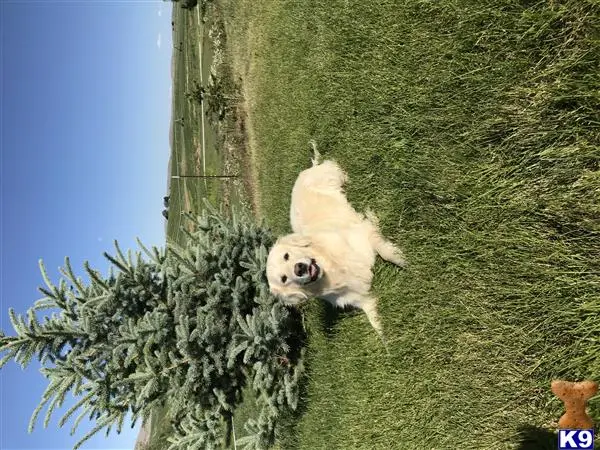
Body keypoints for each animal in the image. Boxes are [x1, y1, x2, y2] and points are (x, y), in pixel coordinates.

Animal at [268, 145, 406, 334]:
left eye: (286, 256)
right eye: (283, 279)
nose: (299, 268)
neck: (334, 268)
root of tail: (306, 170)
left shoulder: (362, 232)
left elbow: (387, 253)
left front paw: (406, 261)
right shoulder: (363, 299)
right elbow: (379, 329)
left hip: (331, 176)